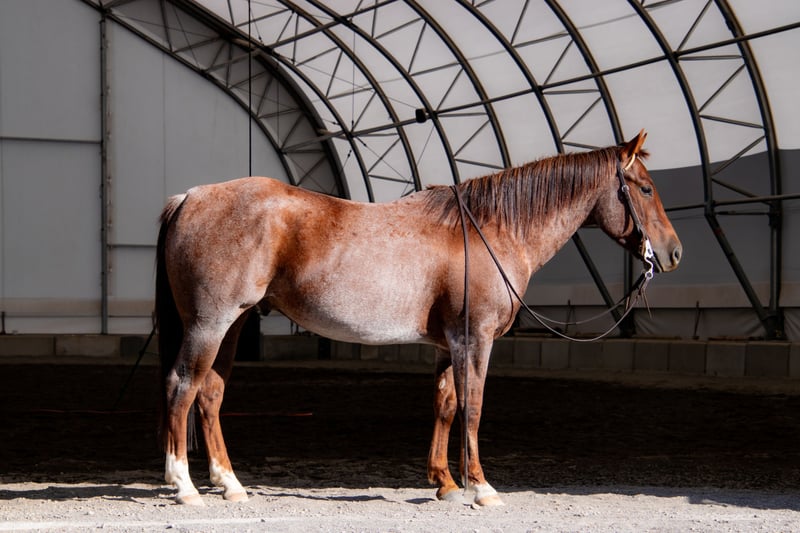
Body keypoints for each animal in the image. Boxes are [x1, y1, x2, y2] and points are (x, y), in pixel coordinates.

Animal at [155, 130, 682, 506]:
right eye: (646, 188)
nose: (674, 253)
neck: (490, 229)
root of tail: (190, 196)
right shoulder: (476, 339)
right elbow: (473, 407)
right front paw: (480, 487)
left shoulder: (449, 344)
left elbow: (446, 405)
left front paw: (444, 482)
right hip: (209, 324)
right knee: (182, 386)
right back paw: (184, 485)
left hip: (234, 325)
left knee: (210, 394)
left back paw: (230, 483)